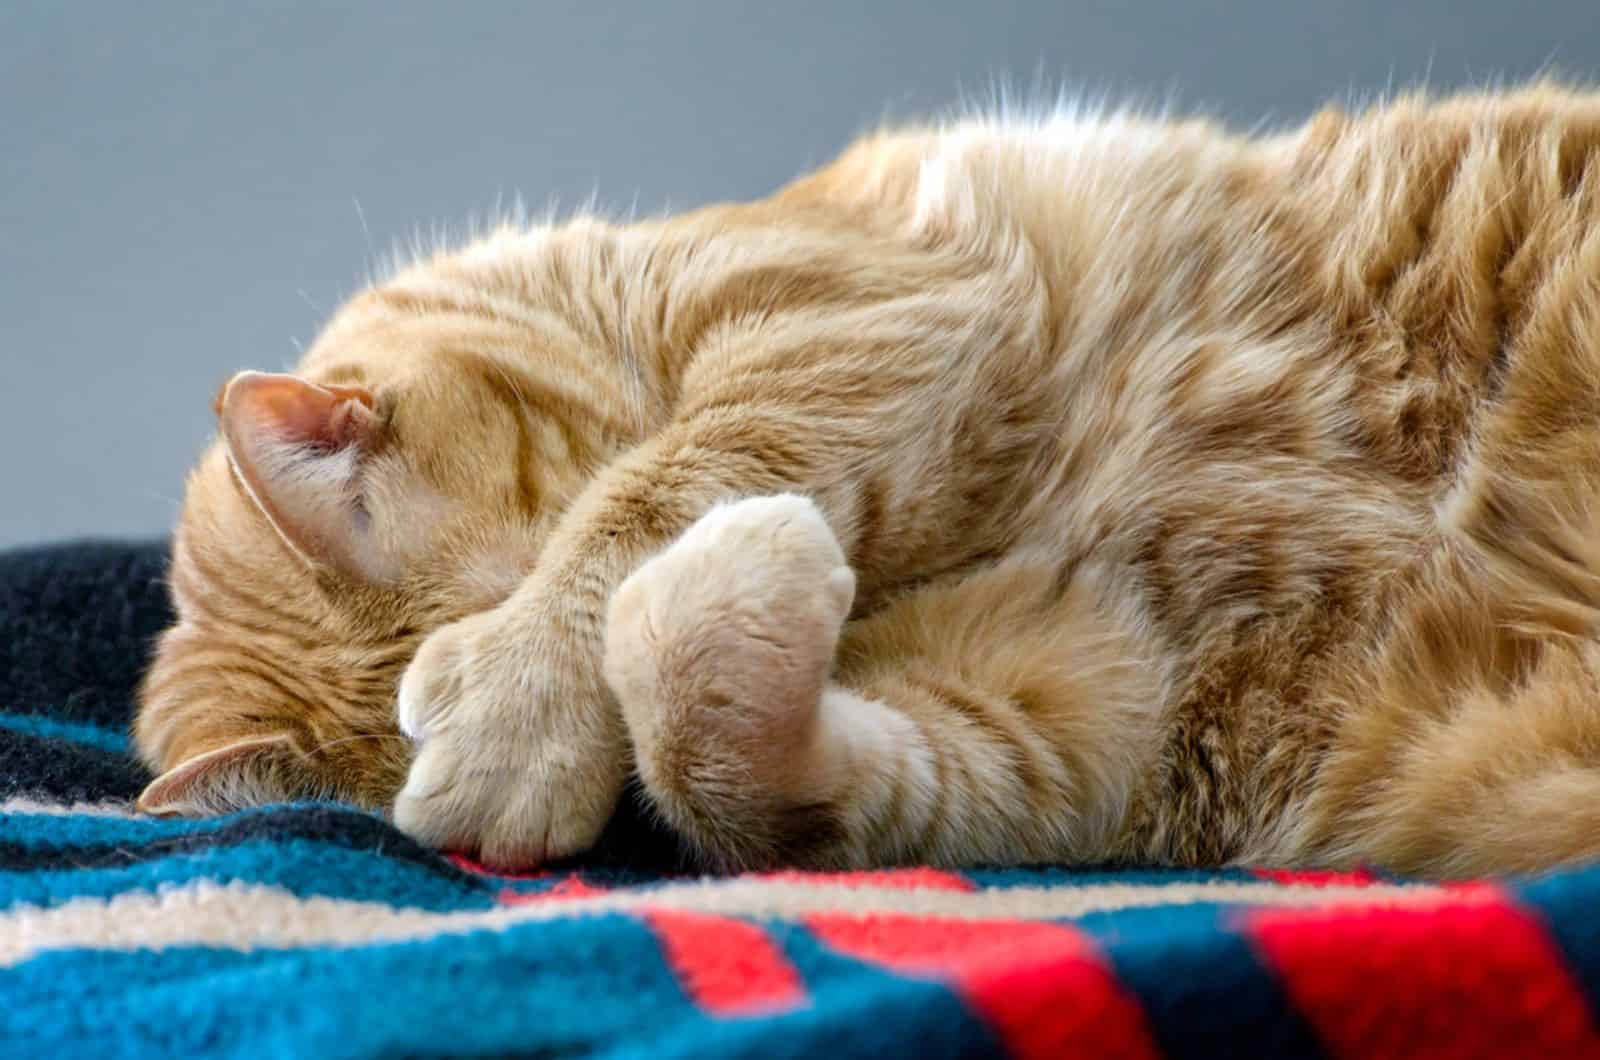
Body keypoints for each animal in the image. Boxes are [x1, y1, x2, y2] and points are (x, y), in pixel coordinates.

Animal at [131, 80, 1600, 877]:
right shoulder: (1077, 703)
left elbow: (663, 495)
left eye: (512, 585)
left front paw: (523, 706)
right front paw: (746, 593)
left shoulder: (877, 314)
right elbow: (736, 742)